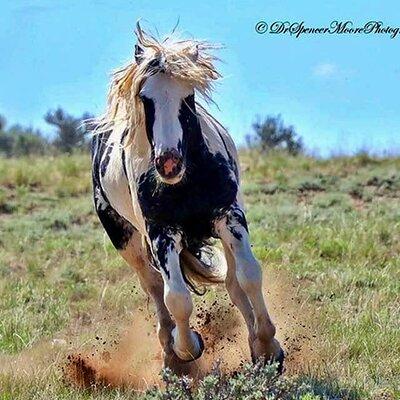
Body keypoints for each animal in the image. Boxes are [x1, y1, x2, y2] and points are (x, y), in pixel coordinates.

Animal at [91, 22, 284, 372]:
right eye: (145, 97)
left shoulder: (229, 216)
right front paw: (188, 348)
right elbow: (177, 298)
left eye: (188, 96)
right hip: (125, 239)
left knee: (233, 283)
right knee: (155, 286)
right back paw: (170, 354)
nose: (169, 162)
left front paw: (266, 347)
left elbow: (249, 276)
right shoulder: (160, 233)